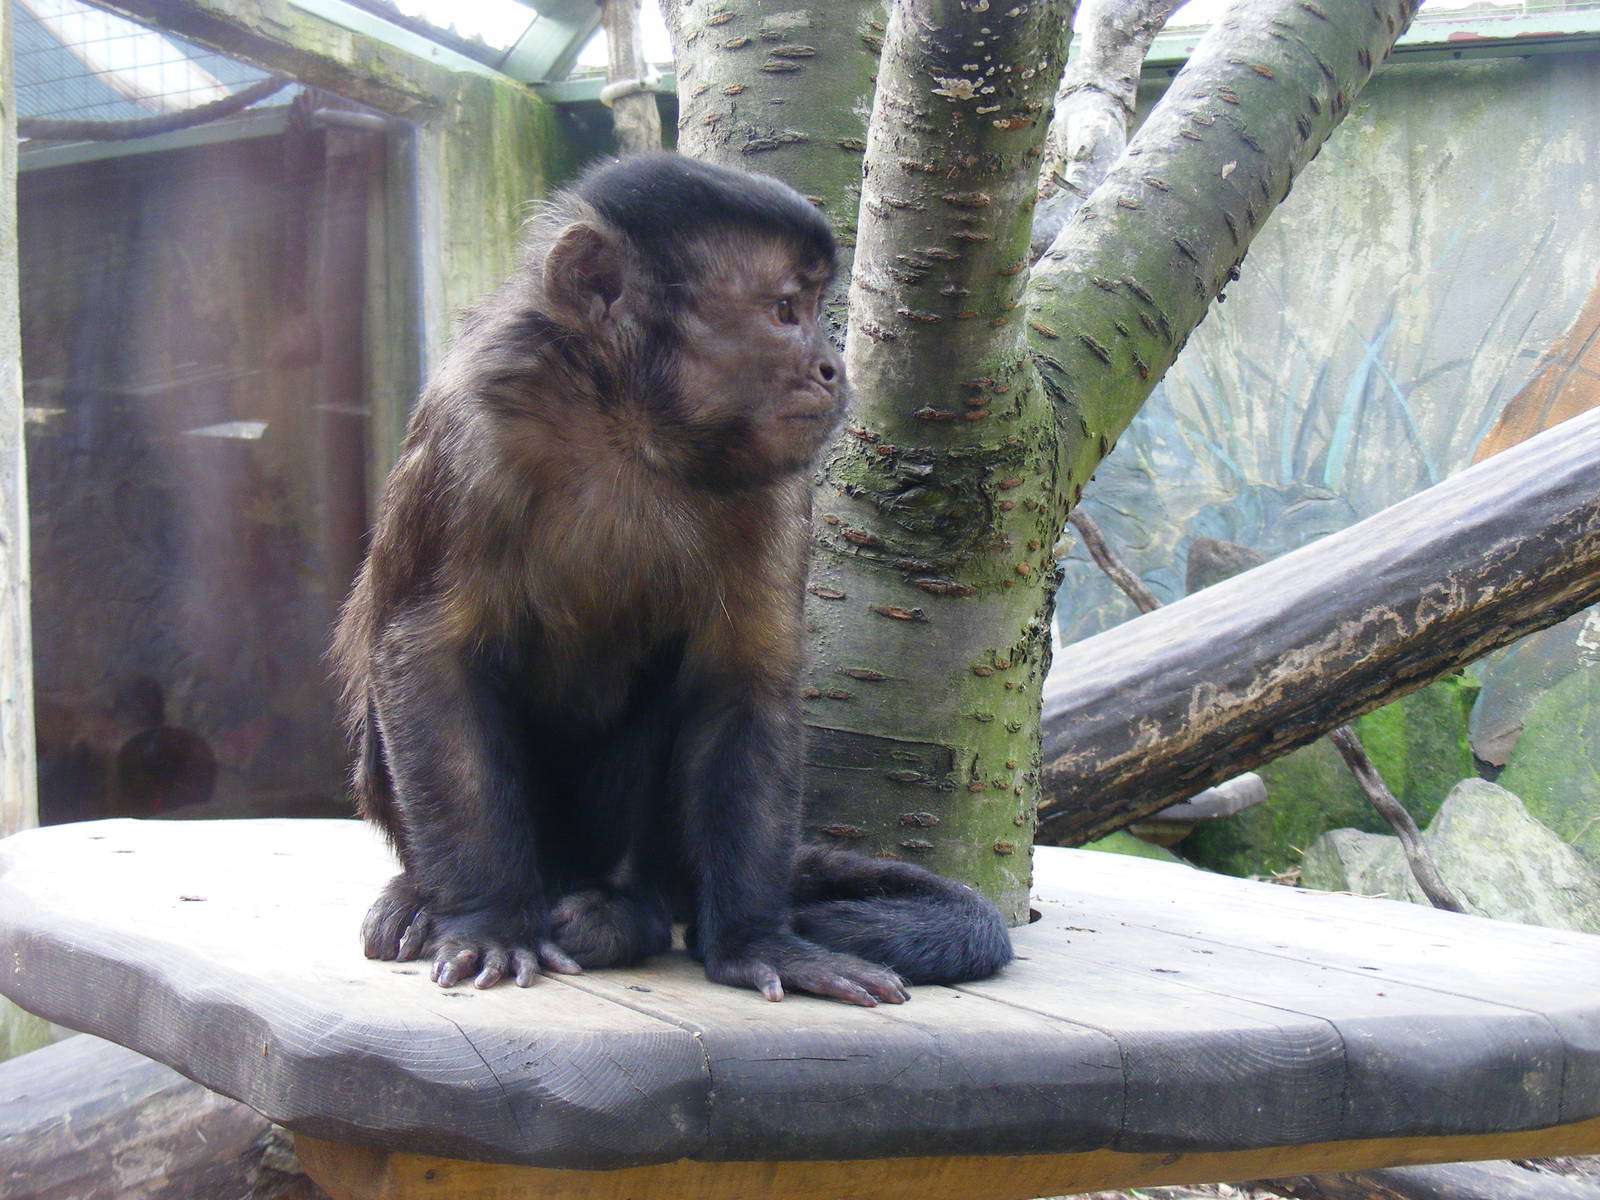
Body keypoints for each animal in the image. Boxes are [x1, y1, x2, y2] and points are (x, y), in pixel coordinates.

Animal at [331, 153, 1012, 1005]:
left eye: (813, 309)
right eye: (784, 310)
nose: (831, 368)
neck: (629, 425)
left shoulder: (774, 485)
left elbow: (742, 681)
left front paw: (759, 942)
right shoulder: (477, 421)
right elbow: (425, 656)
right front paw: (487, 920)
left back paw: (627, 911)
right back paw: (429, 897)